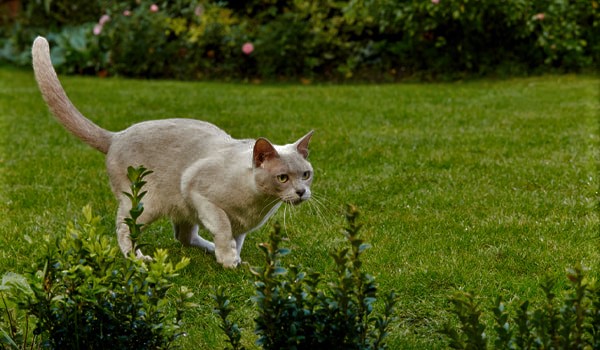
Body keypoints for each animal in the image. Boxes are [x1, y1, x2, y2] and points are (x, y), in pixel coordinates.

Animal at [31, 37, 314, 268]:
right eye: (282, 178)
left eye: (306, 175)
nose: (302, 192)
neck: (258, 205)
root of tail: (116, 136)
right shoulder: (199, 193)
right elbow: (223, 229)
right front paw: (228, 260)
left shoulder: (240, 226)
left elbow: (236, 239)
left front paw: (234, 259)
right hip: (146, 203)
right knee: (124, 228)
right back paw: (139, 258)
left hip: (182, 210)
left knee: (184, 237)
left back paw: (210, 251)